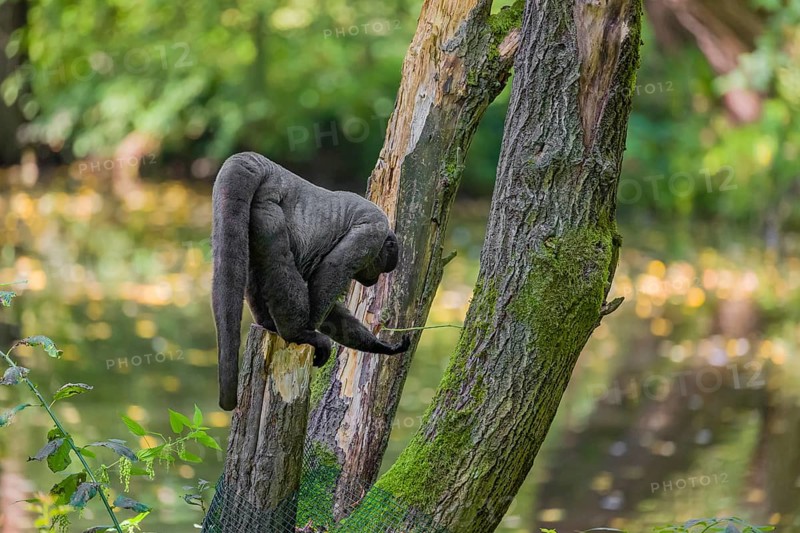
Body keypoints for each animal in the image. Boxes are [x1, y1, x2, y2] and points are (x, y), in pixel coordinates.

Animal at [212, 152, 410, 411]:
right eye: (378, 267)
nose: (374, 280)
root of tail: (271, 169)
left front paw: (382, 346)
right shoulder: (371, 233)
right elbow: (332, 270)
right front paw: (308, 331)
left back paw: (269, 324)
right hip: (268, 211)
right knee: (279, 259)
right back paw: (297, 333)